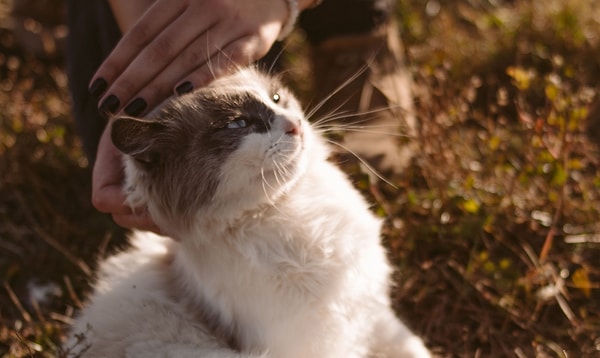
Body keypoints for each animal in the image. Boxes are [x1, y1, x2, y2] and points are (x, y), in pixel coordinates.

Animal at [67, 68, 432, 358]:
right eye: (238, 123)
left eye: (277, 98)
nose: (295, 125)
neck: (290, 211)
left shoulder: (373, 317)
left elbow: (418, 350)